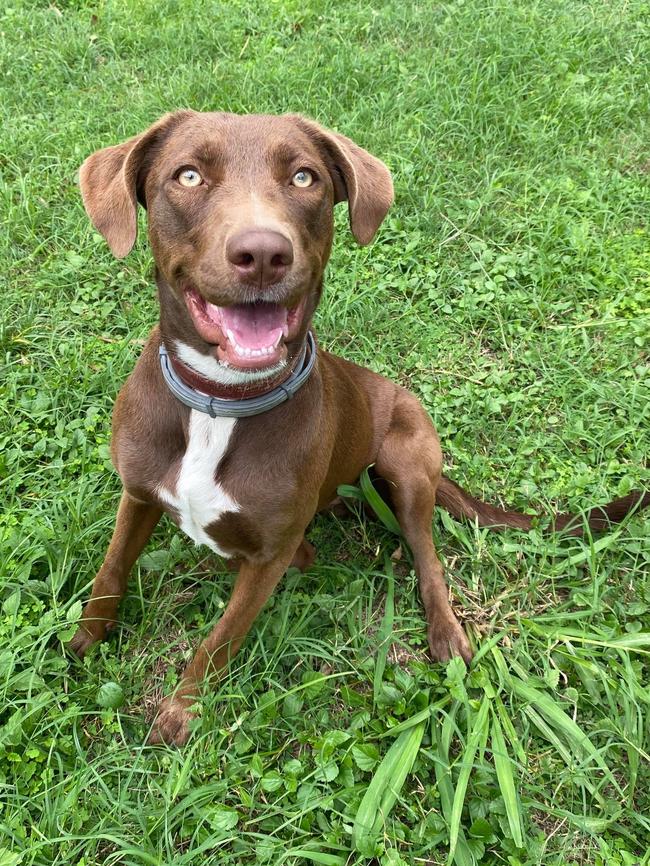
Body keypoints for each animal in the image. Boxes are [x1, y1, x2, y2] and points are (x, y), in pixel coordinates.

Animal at [72, 109, 648, 744]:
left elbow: (221, 638)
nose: (263, 252)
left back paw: (444, 630)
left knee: (426, 555)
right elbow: (110, 570)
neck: (219, 402)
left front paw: (182, 710)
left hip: (408, 459)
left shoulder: (269, 557)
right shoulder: (138, 493)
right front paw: (84, 639)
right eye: (189, 175)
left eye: (304, 177)